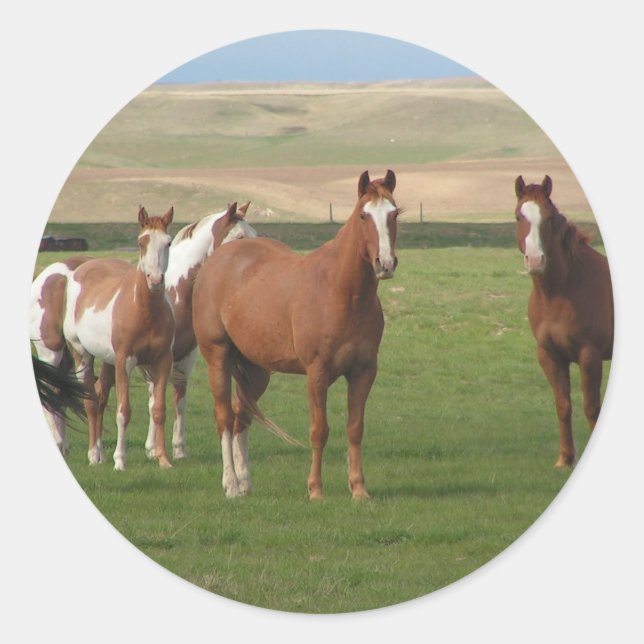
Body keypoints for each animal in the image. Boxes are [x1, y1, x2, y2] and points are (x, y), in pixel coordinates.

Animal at [62, 206, 176, 469]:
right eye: (142, 241)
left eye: (168, 242)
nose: (155, 280)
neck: (144, 310)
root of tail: (82, 269)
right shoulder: (125, 361)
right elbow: (124, 411)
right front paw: (120, 461)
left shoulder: (163, 360)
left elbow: (159, 409)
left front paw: (163, 459)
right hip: (82, 354)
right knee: (91, 401)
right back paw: (94, 454)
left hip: (107, 361)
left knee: (101, 396)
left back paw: (100, 453)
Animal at [96, 202, 257, 460]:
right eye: (240, 237)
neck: (177, 293)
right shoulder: (157, 358)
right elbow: (154, 398)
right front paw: (153, 448)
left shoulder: (184, 355)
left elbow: (177, 399)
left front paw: (177, 448)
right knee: (100, 394)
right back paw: (96, 452)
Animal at [192, 170, 399, 499]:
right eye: (364, 215)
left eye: (394, 213)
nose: (386, 263)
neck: (341, 291)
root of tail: (220, 257)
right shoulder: (317, 372)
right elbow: (319, 430)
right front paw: (315, 489)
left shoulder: (364, 371)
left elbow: (355, 429)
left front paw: (358, 489)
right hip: (218, 357)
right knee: (224, 416)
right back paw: (231, 484)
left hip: (257, 371)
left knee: (241, 416)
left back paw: (245, 481)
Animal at [514, 175, 613, 467]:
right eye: (518, 216)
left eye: (548, 217)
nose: (535, 260)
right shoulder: (550, 355)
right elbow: (563, 405)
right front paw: (565, 458)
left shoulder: (589, 355)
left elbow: (592, 408)